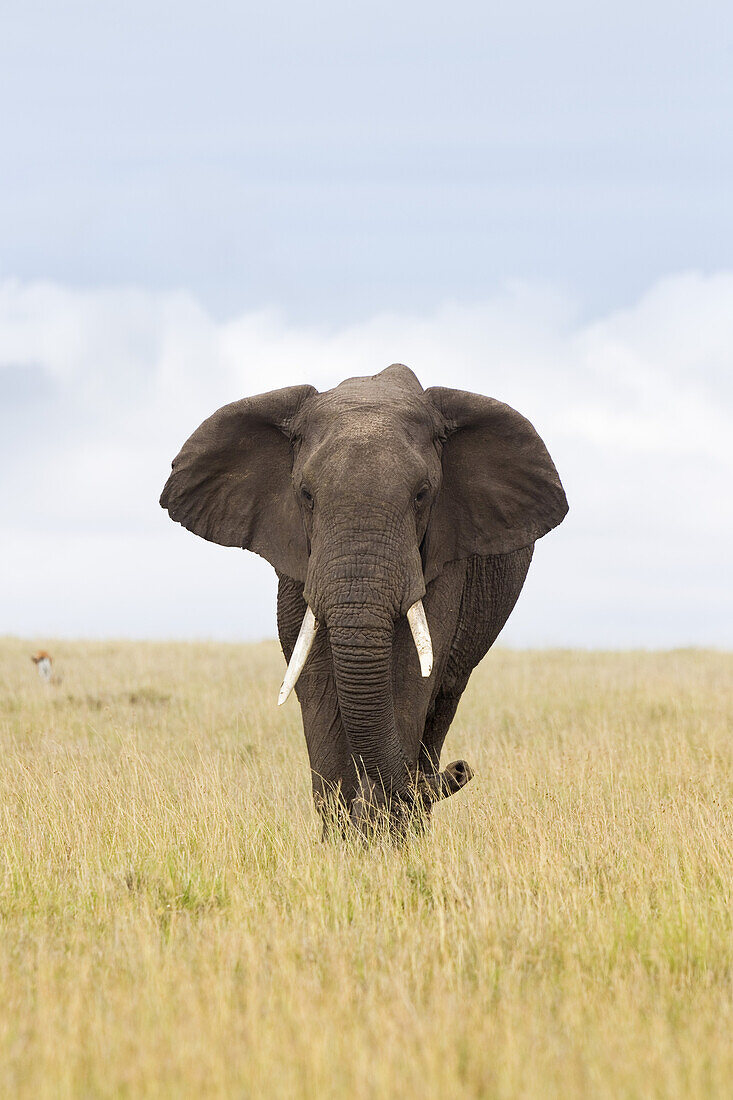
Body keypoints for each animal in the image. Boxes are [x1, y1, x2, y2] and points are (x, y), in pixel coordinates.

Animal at [159, 365, 567, 836]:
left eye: (422, 495)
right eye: (306, 495)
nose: (461, 770)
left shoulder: (444, 556)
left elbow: (411, 674)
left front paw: (379, 834)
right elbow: (315, 676)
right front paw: (345, 836)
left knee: (444, 698)